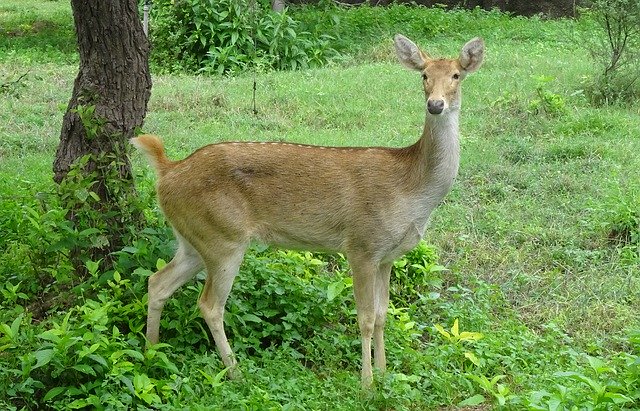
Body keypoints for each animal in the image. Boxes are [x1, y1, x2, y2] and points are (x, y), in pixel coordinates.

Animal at [132, 34, 482, 386]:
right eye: (424, 75)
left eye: (456, 75)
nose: (435, 104)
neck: (411, 190)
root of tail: (167, 171)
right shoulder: (362, 245)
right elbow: (366, 318)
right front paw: (367, 384)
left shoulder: (387, 257)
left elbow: (384, 316)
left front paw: (384, 375)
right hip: (223, 237)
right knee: (209, 305)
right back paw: (235, 372)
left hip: (194, 238)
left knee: (157, 282)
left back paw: (151, 352)